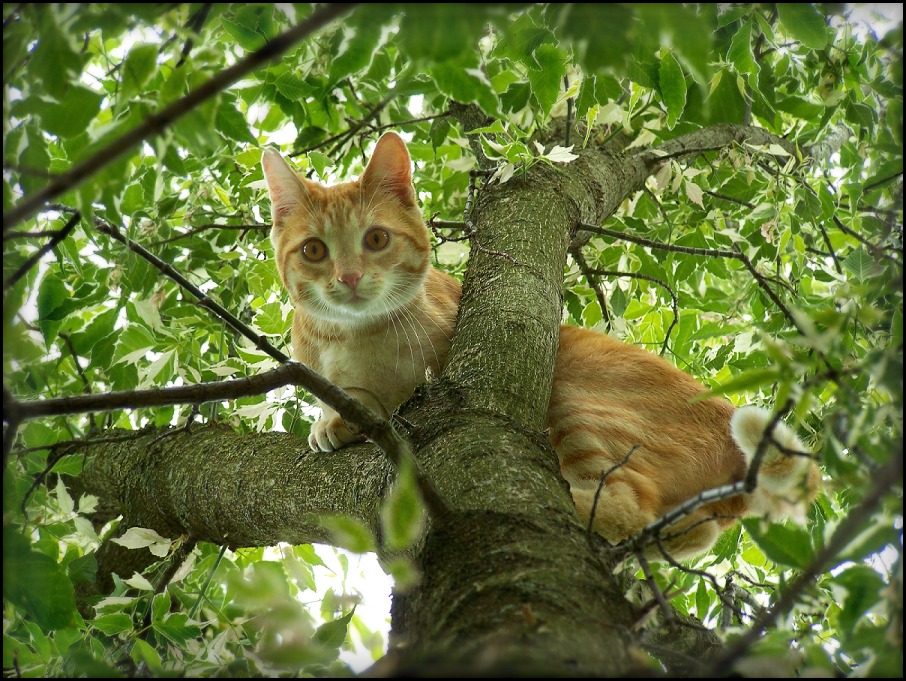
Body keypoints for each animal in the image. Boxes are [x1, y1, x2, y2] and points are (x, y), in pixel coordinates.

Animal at [260, 131, 820, 556]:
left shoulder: (435, 370)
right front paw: (333, 413)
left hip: (570, 395)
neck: (349, 335)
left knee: (623, 509)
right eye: (314, 251)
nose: (349, 278)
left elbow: (388, 399)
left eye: (376, 240)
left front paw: (345, 418)